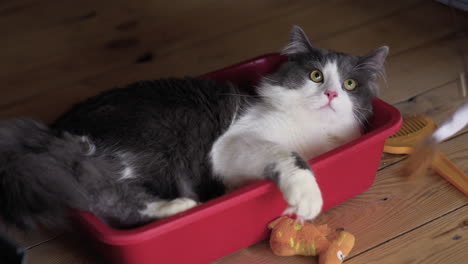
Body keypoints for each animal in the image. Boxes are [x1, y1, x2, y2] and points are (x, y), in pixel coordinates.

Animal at [0, 25, 388, 230]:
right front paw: (306, 199)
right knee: (105, 199)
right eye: (316, 75)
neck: (313, 134)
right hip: (146, 149)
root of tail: (52, 133)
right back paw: (179, 208)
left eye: (350, 84)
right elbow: (290, 156)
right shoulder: (232, 144)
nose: (332, 93)